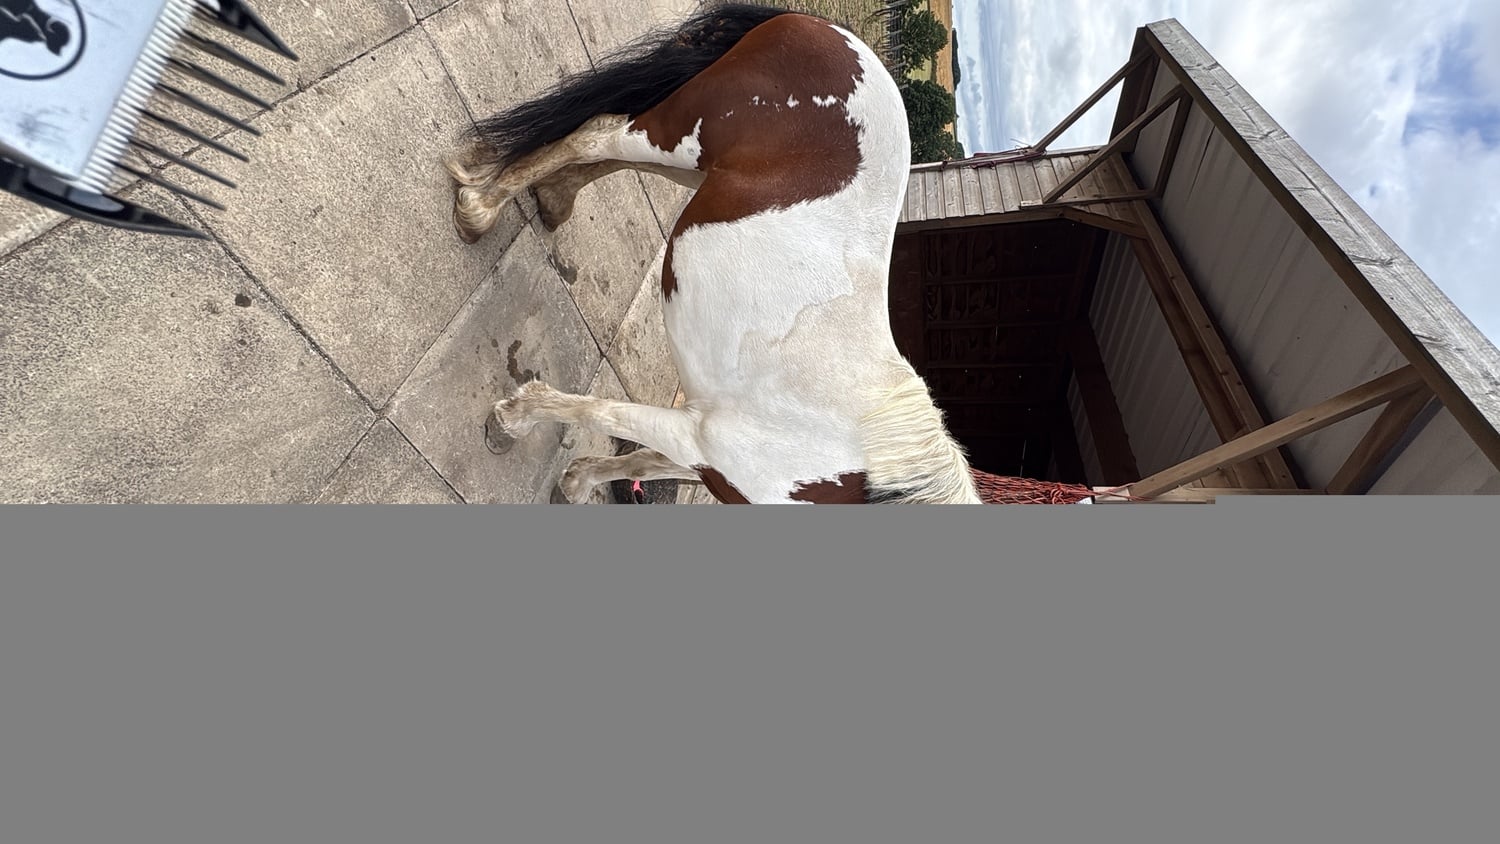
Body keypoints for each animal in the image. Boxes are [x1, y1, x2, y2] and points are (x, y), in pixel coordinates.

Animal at [444, 3, 982, 505]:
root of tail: (824, 27)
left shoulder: (701, 455)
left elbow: (643, 462)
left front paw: (578, 480)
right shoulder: (697, 436)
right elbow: (601, 412)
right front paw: (510, 422)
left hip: (693, 170)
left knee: (608, 156)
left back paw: (553, 198)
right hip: (678, 138)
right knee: (598, 135)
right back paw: (479, 208)